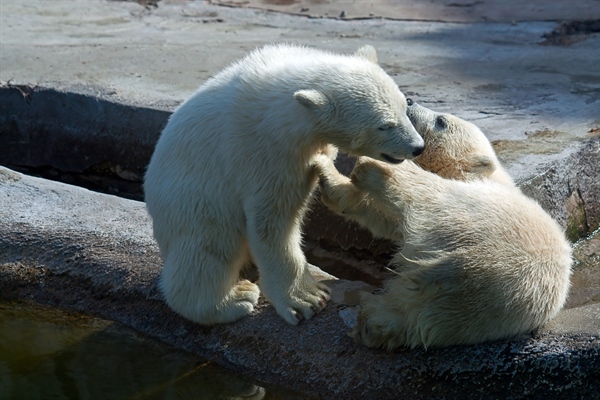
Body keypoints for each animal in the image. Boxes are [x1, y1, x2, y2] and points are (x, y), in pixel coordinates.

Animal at [144, 43, 426, 324]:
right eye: (384, 125)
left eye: (405, 107)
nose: (418, 147)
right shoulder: (266, 151)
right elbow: (274, 222)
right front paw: (307, 299)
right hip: (196, 201)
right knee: (210, 247)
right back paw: (234, 299)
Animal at [314, 101, 572, 350]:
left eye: (441, 121)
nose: (410, 101)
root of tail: (463, 265)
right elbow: (387, 219)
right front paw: (329, 176)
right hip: (458, 314)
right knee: (410, 316)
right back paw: (370, 322)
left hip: (467, 216)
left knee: (428, 195)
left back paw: (377, 168)